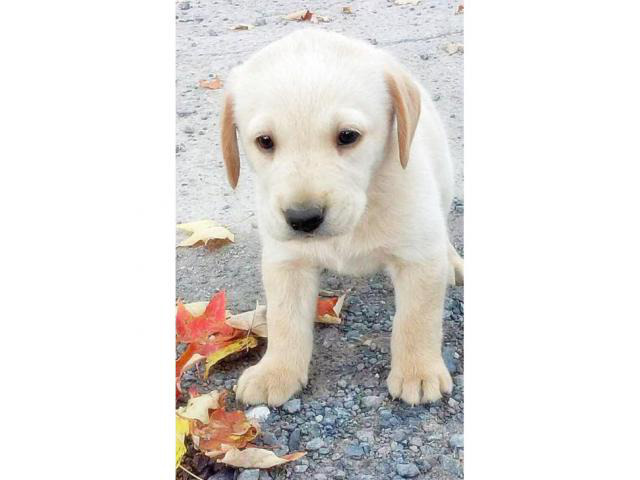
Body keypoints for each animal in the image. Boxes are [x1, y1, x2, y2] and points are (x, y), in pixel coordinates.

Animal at [218, 29, 462, 404]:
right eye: (264, 141)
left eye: (348, 136)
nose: (303, 218)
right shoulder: (286, 261)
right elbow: (284, 320)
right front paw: (276, 370)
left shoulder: (417, 257)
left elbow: (416, 318)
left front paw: (417, 371)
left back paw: (452, 262)